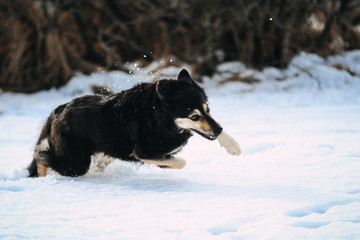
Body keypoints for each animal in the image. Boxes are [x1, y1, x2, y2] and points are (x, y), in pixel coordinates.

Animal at [27, 68, 242, 177]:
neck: (159, 116)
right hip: (77, 163)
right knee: (42, 156)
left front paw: (232, 145)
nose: (218, 129)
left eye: (208, 109)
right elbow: (180, 161)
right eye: (194, 117)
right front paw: (166, 166)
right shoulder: (143, 152)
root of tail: (59, 110)